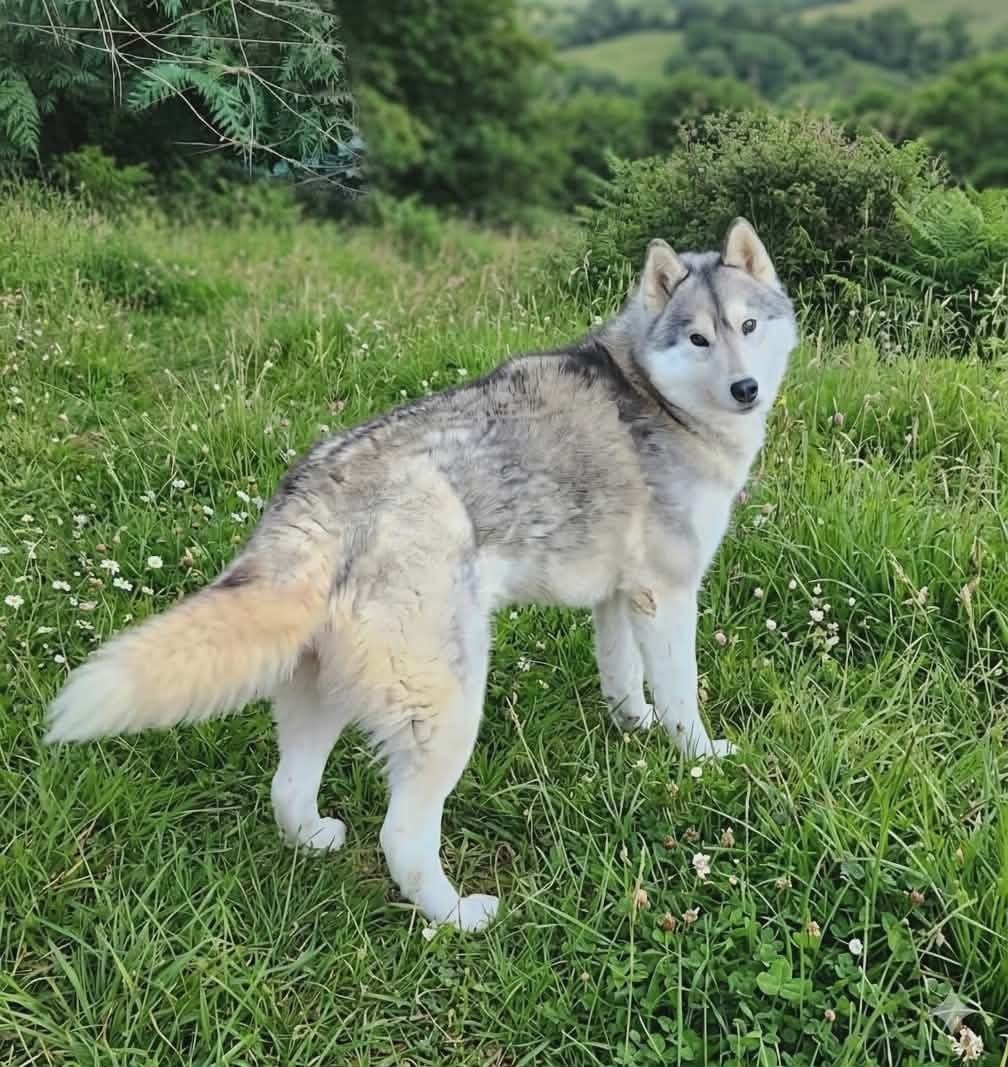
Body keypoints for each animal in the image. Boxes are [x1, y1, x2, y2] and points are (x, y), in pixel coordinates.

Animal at [45, 218, 798, 932]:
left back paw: (314, 838)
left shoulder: (620, 596)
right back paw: (457, 916)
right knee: (401, 836)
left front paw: (633, 725)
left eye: (748, 326)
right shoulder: (667, 594)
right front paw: (696, 753)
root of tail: (317, 500)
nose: (746, 388)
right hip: (447, 707)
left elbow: (624, 677)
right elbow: (679, 693)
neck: (657, 397)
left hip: (324, 689)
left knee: (287, 788)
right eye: (697, 338)